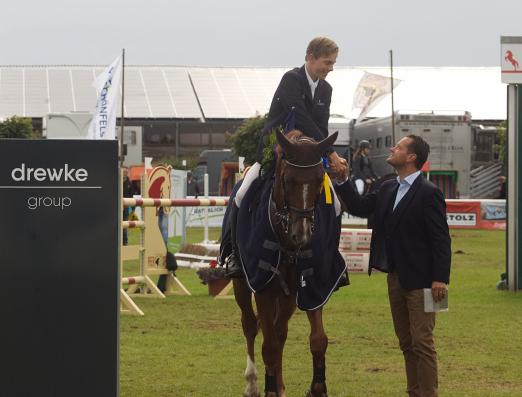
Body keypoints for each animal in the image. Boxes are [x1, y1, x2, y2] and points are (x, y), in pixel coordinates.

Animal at [232, 128, 338, 396]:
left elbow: (318, 340)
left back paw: (278, 384)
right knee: (250, 326)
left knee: (280, 332)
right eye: (288, 180)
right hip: (242, 285)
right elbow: (268, 346)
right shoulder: (263, 289)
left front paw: (317, 388)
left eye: (319, 180)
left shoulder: (313, 285)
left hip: (287, 297)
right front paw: (268, 389)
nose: (302, 236)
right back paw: (253, 383)